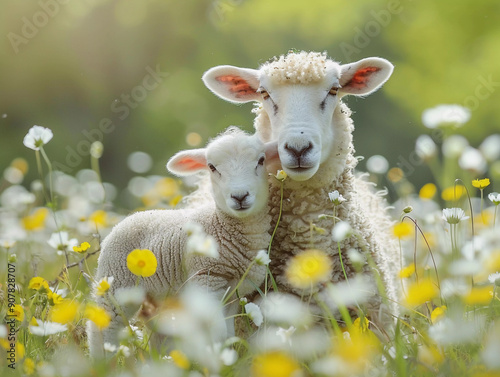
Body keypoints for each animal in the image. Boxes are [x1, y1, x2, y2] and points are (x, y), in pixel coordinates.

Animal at [89, 126, 278, 356]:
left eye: (261, 160)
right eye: (212, 167)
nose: (240, 196)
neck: (220, 224)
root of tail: (125, 220)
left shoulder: (233, 292)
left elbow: (228, 333)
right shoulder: (206, 278)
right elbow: (216, 333)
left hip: (159, 297)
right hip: (116, 282)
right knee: (103, 325)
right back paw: (101, 360)